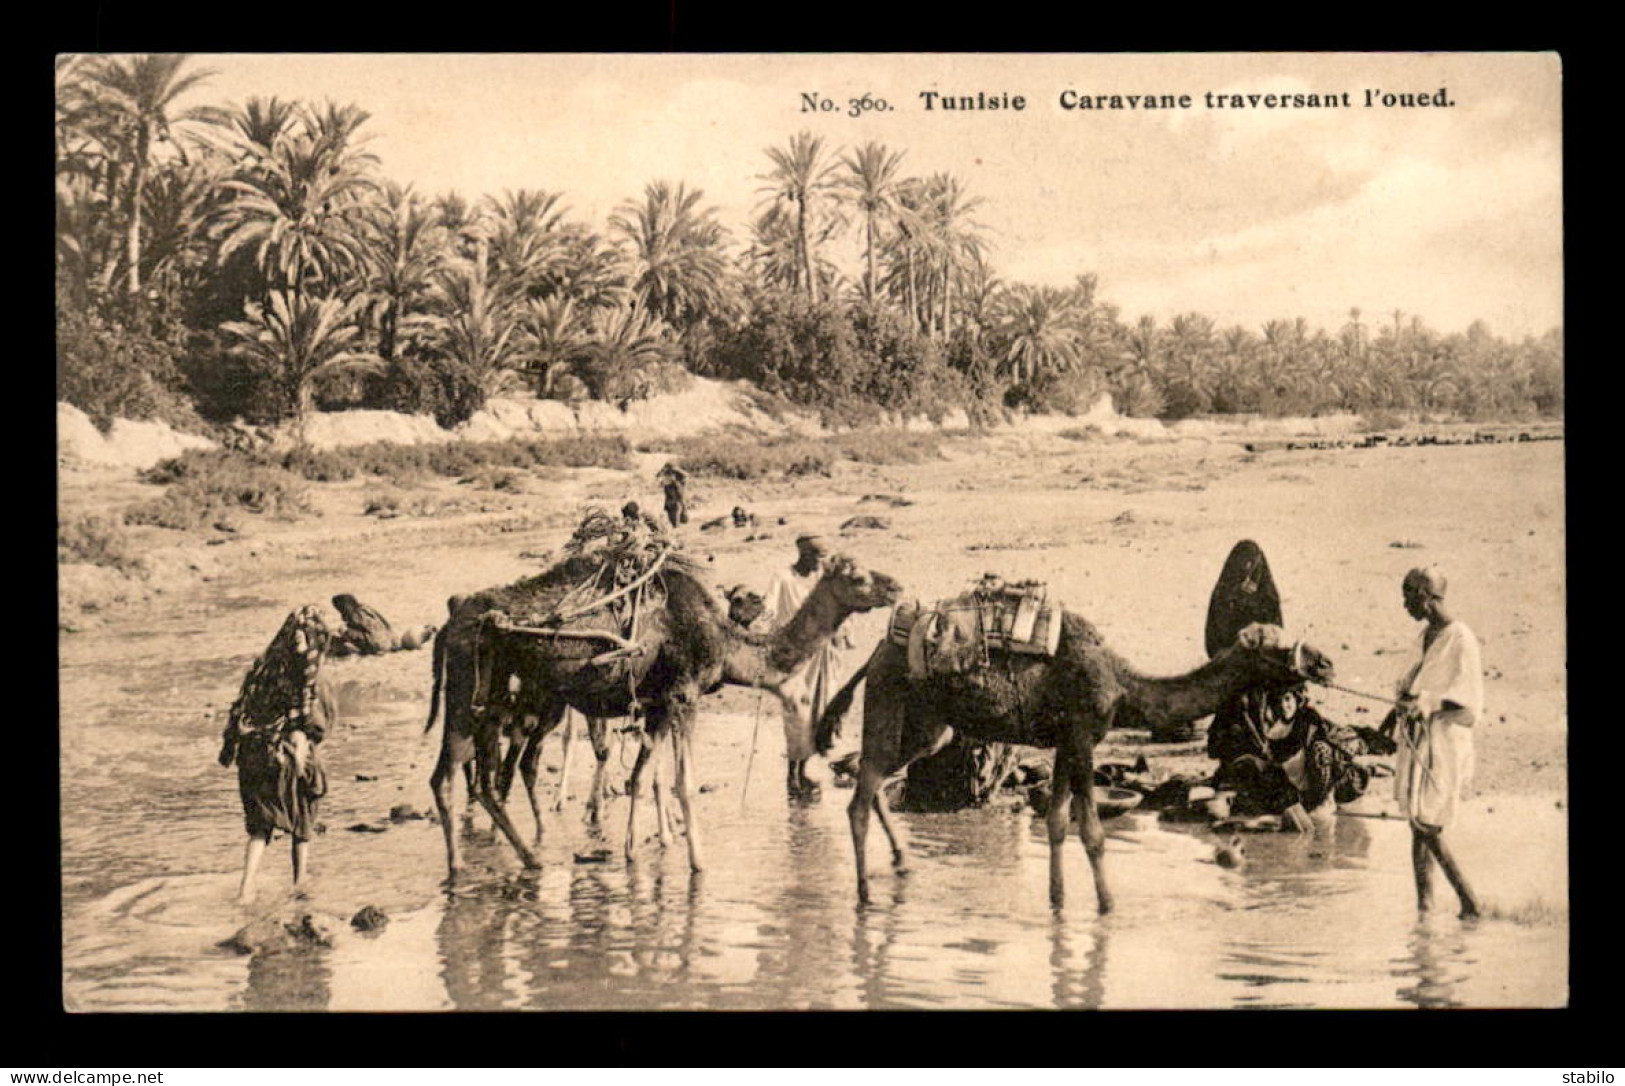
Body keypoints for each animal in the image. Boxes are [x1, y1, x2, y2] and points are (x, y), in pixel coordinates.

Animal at [422, 546, 903, 877]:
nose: (896, 586)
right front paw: (698, 864)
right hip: (473, 688)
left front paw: (634, 852)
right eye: (858, 577)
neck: (725, 642)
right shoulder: (684, 696)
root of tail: (451, 623)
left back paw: (512, 860)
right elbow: (682, 783)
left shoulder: (656, 704)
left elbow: (639, 777)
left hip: (485, 692)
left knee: (471, 777)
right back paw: (469, 866)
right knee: (459, 776)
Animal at [812, 614, 1332, 910]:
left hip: (926, 725)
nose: (1324, 663)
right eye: (1276, 646)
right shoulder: (1083, 738)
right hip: (889, 701)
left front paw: (1058, 901)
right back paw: (866, 895)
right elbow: (1093, 833)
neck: (1124, 686)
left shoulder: (1064, 743)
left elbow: (1058, 822)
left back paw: (901, 865)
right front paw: (1107, 907)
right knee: (860, 796)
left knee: (874, 779)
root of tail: (877, 651)